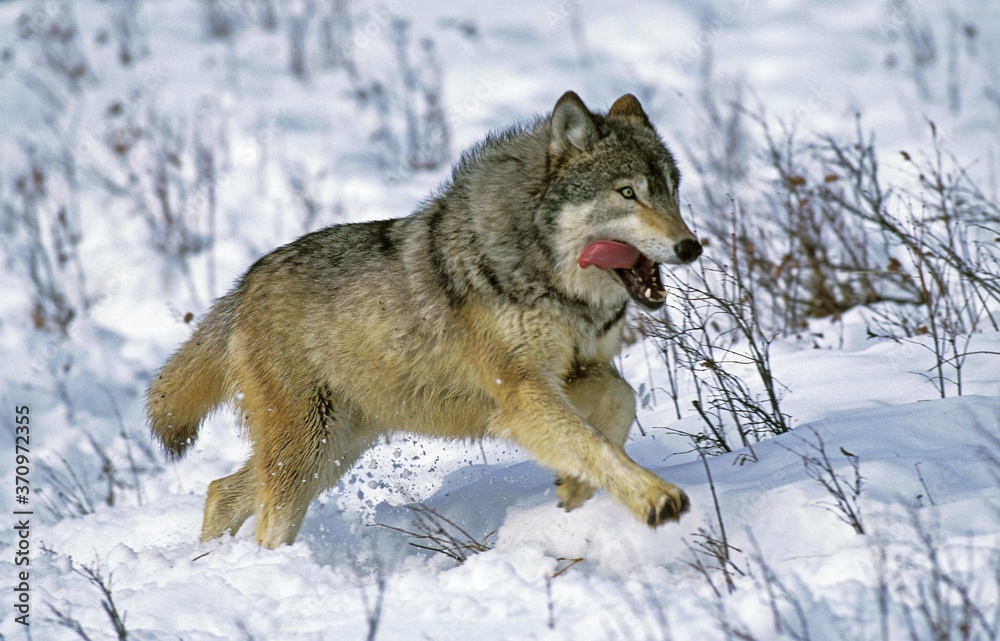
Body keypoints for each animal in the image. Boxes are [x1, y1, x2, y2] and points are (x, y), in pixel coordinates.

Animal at [147, 91, 703, 548]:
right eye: (627, 193)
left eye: (672, 191)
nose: (690, 247)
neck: (549, 278)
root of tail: (244, 284)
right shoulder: (522, 393)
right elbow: (592, 441)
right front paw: (654, 498)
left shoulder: (571, 374)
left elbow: (621, 403)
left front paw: (575, 489)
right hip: (308, 452)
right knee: (260, 515)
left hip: (334, 449)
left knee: (221, 490)